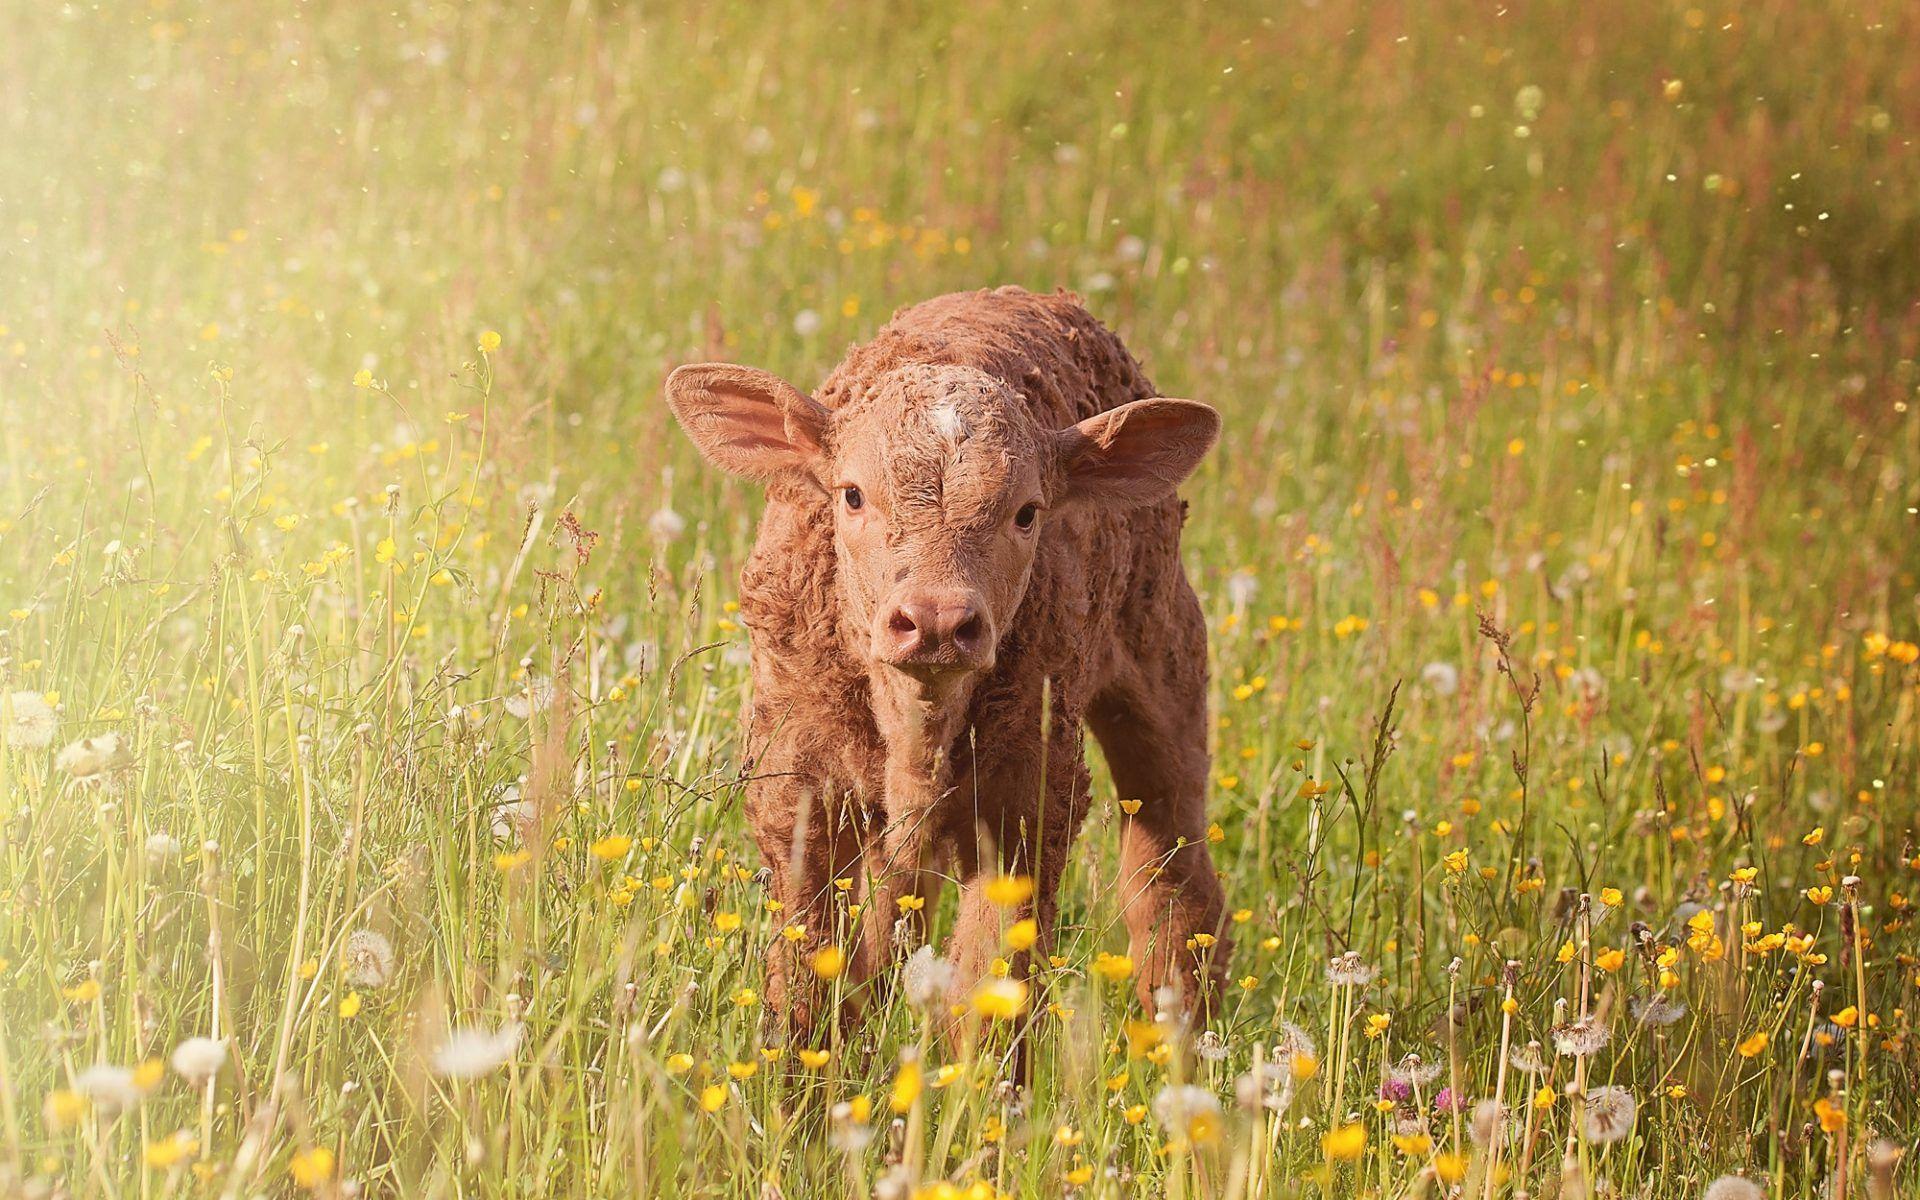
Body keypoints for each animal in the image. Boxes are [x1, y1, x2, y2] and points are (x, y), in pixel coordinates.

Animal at [664, 286, 1228, 1039]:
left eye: (1027, 513)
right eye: (852, 494)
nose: (935, 621)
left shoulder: (1029, 802)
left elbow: (990, 991)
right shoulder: (798, 787)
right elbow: (810, 978)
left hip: (1167, 663)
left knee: (1173, 878)